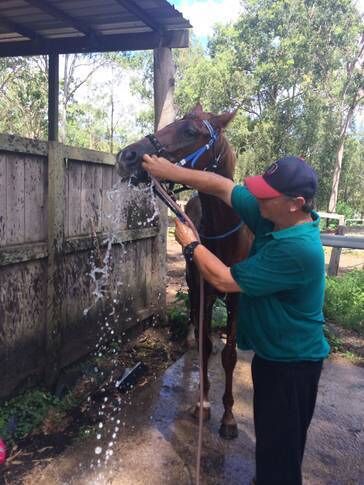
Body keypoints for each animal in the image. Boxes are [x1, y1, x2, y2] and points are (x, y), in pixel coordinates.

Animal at [116, 103, 253, 438]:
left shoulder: (236, 299)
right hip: (192, 285)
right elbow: (204, 346)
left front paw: (228, 417)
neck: (224, 236)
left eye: (191, 131)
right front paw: (203, 403)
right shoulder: (203, 291)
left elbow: (230, 356)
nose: (127, 156)